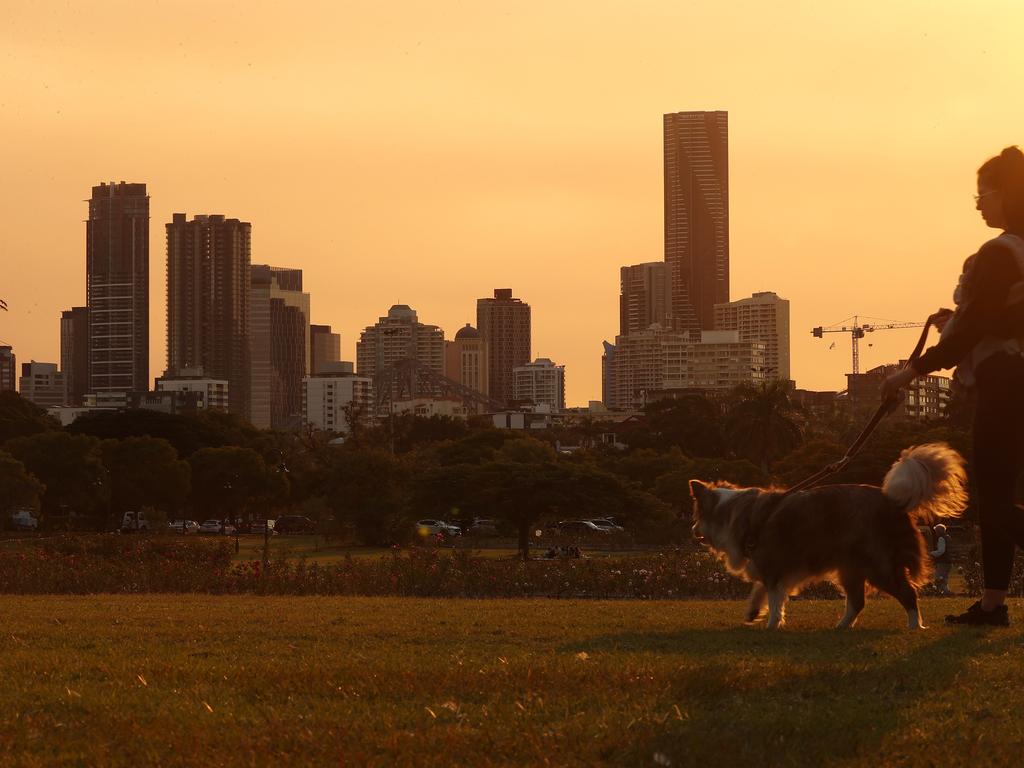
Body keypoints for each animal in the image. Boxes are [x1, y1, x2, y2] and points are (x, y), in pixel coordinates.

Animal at [688, 444, 966, 630]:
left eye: (697, 516)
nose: (692, 531)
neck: (729, 510)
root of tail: (892, 501)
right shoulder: (769, 564)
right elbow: (763, 590)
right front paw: (754, 611)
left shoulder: (773, 562)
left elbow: (774, 596)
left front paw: (772, 624)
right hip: (851, 566)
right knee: (857, 601)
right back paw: (841, 627)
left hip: (878, 564)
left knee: (907, 593)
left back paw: (914, 626)